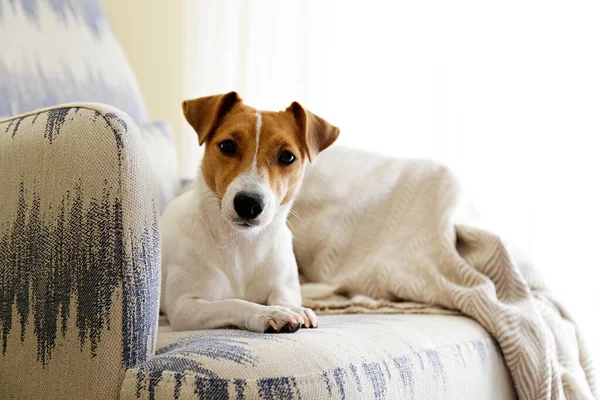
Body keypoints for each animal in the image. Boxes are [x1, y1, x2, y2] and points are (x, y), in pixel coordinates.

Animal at [159, 92, 340, 332]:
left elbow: (283, 296)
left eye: (287, 157)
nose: (248, 203)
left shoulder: (283, 285)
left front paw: (295, 308)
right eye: (227, 145)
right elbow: (233, 302)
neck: (242, 244)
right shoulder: (185, 306)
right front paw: (269, 313)